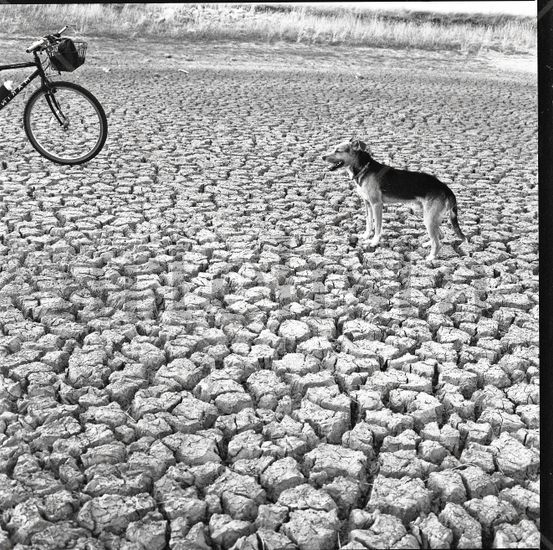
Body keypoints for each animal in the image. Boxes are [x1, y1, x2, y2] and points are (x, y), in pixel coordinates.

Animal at [322, 137, 464, 260]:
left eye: (338, 150)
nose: (322, 157)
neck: (363, 168)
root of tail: (445, 187)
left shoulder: (376, 204)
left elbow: (377, 226)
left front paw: (374, 242)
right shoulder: (367, 203)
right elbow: (369, 222)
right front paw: (366, 236)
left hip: (429, 217)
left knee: (438, 242)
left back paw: (431, 257)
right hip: (426, 214)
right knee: (440, 235)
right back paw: (427, 244)